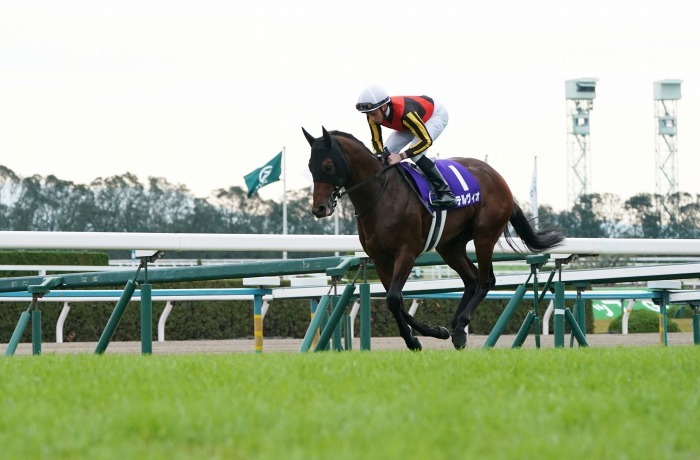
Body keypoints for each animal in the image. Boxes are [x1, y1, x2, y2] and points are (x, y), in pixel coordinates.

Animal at [302, 126, 564, 350]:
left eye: (327, 166)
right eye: (309, 166)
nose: (319, 208)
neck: (381, 195)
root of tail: (499, 178)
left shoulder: (406, 252)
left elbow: (394, 299)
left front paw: (416, 340)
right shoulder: (379, 258)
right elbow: (395, 301)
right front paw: (433, 332)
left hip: (485, 236)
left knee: (486, 280)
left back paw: (461, 327)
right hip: (450, 246)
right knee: (471, 279)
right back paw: (457, 327)